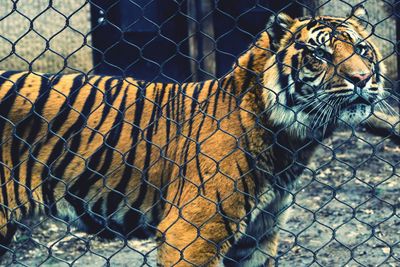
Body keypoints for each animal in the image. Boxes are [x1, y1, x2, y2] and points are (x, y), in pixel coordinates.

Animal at [0, 5, 396, 267]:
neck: (292, 144)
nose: (362, 79)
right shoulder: (192, 234)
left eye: (361, 50)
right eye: (319, 55)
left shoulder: (258, 237)